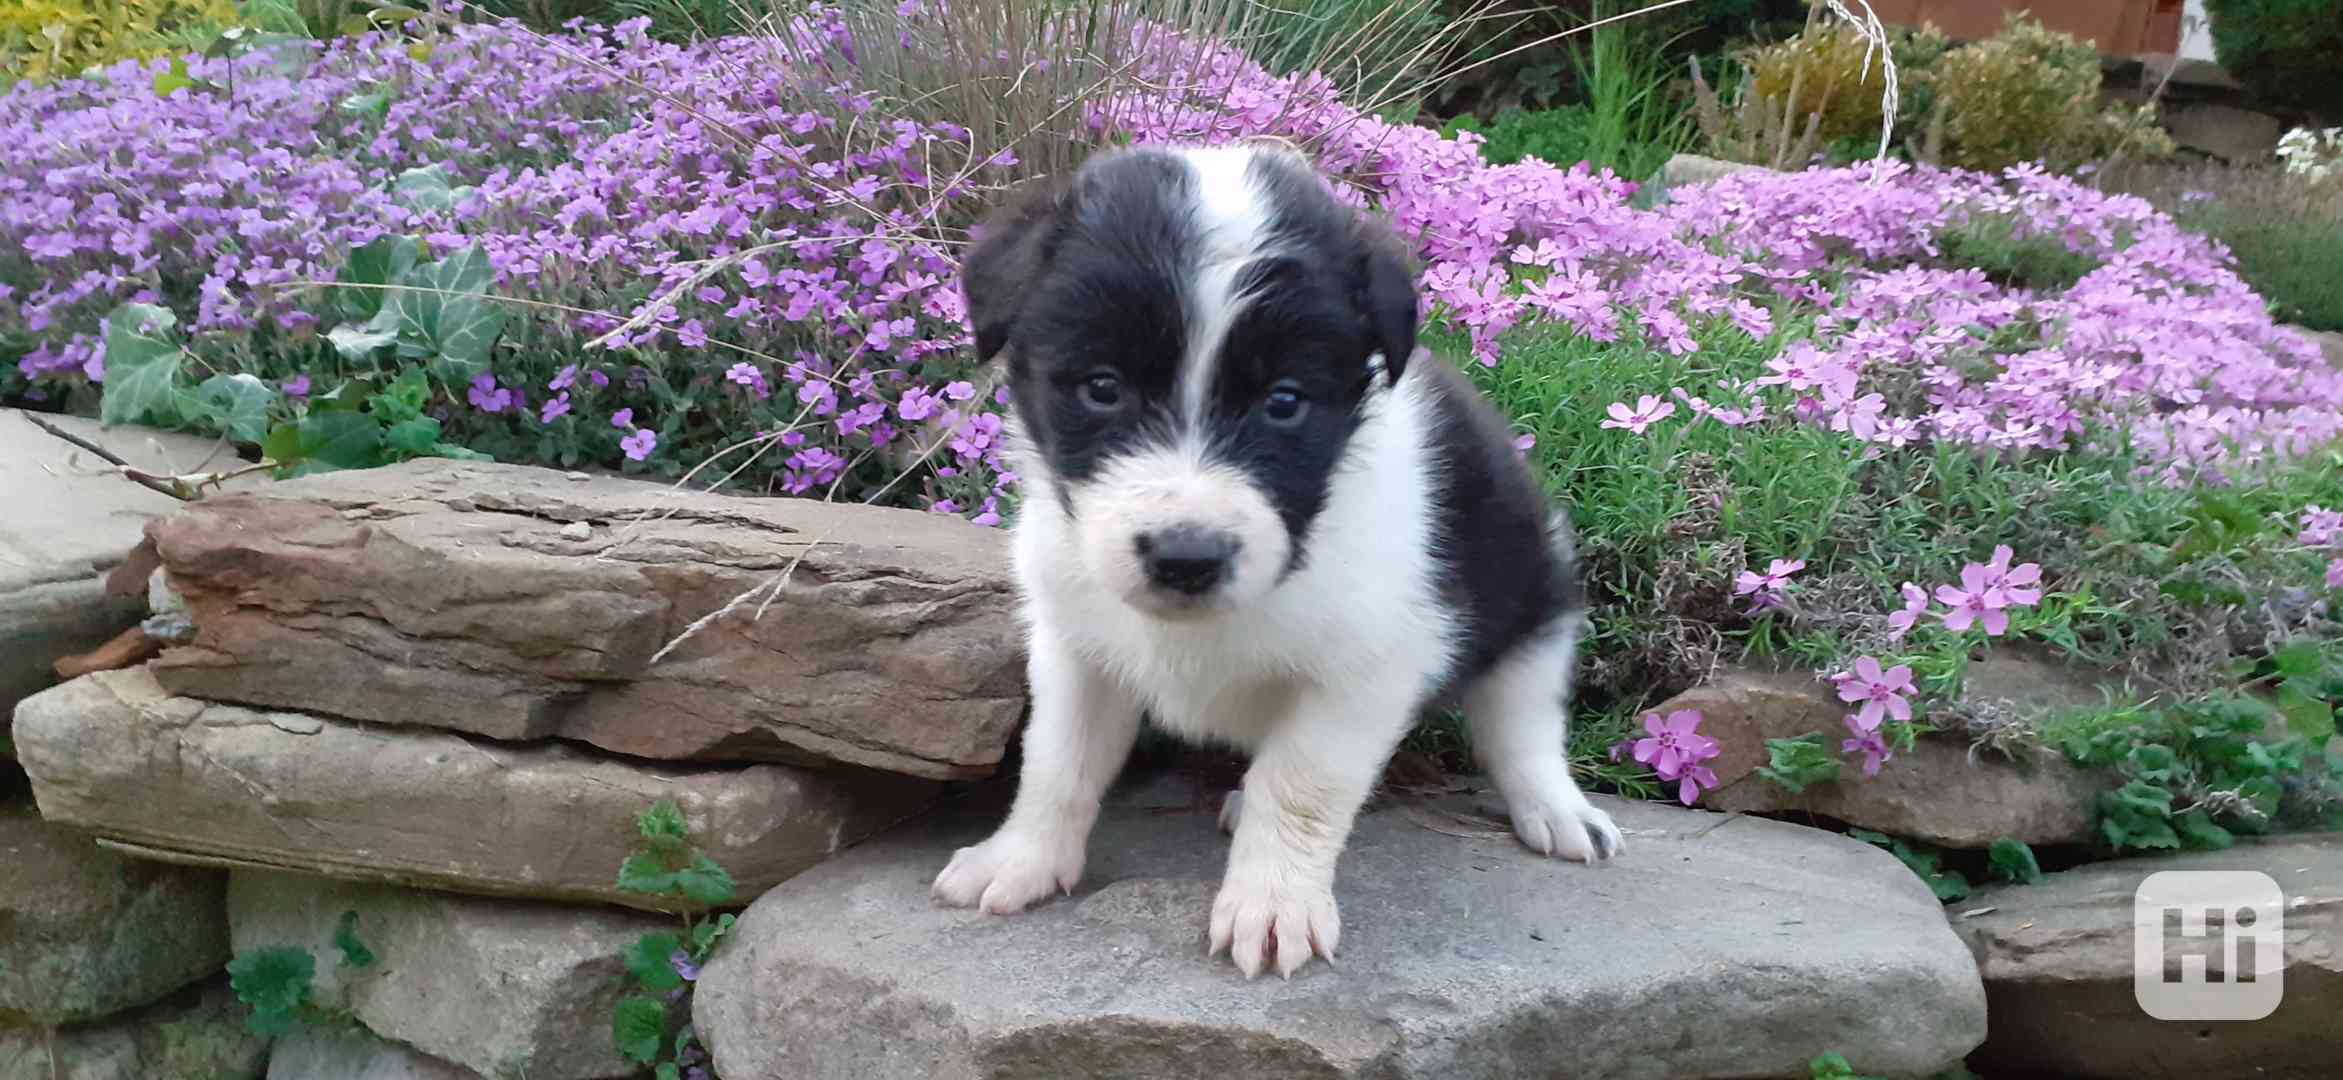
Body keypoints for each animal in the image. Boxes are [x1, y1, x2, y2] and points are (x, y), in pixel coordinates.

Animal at [923, 141, 1621, 974]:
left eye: (1283, 402)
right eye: (1101, 388)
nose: (1185, 558)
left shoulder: (1368, 668)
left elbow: (1300, 785)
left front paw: (1274, 905)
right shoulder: (1074, 641)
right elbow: (1056, 760)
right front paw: (1021, 860)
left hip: (1533, 595)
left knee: (1521, 722)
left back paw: (1558, 810)